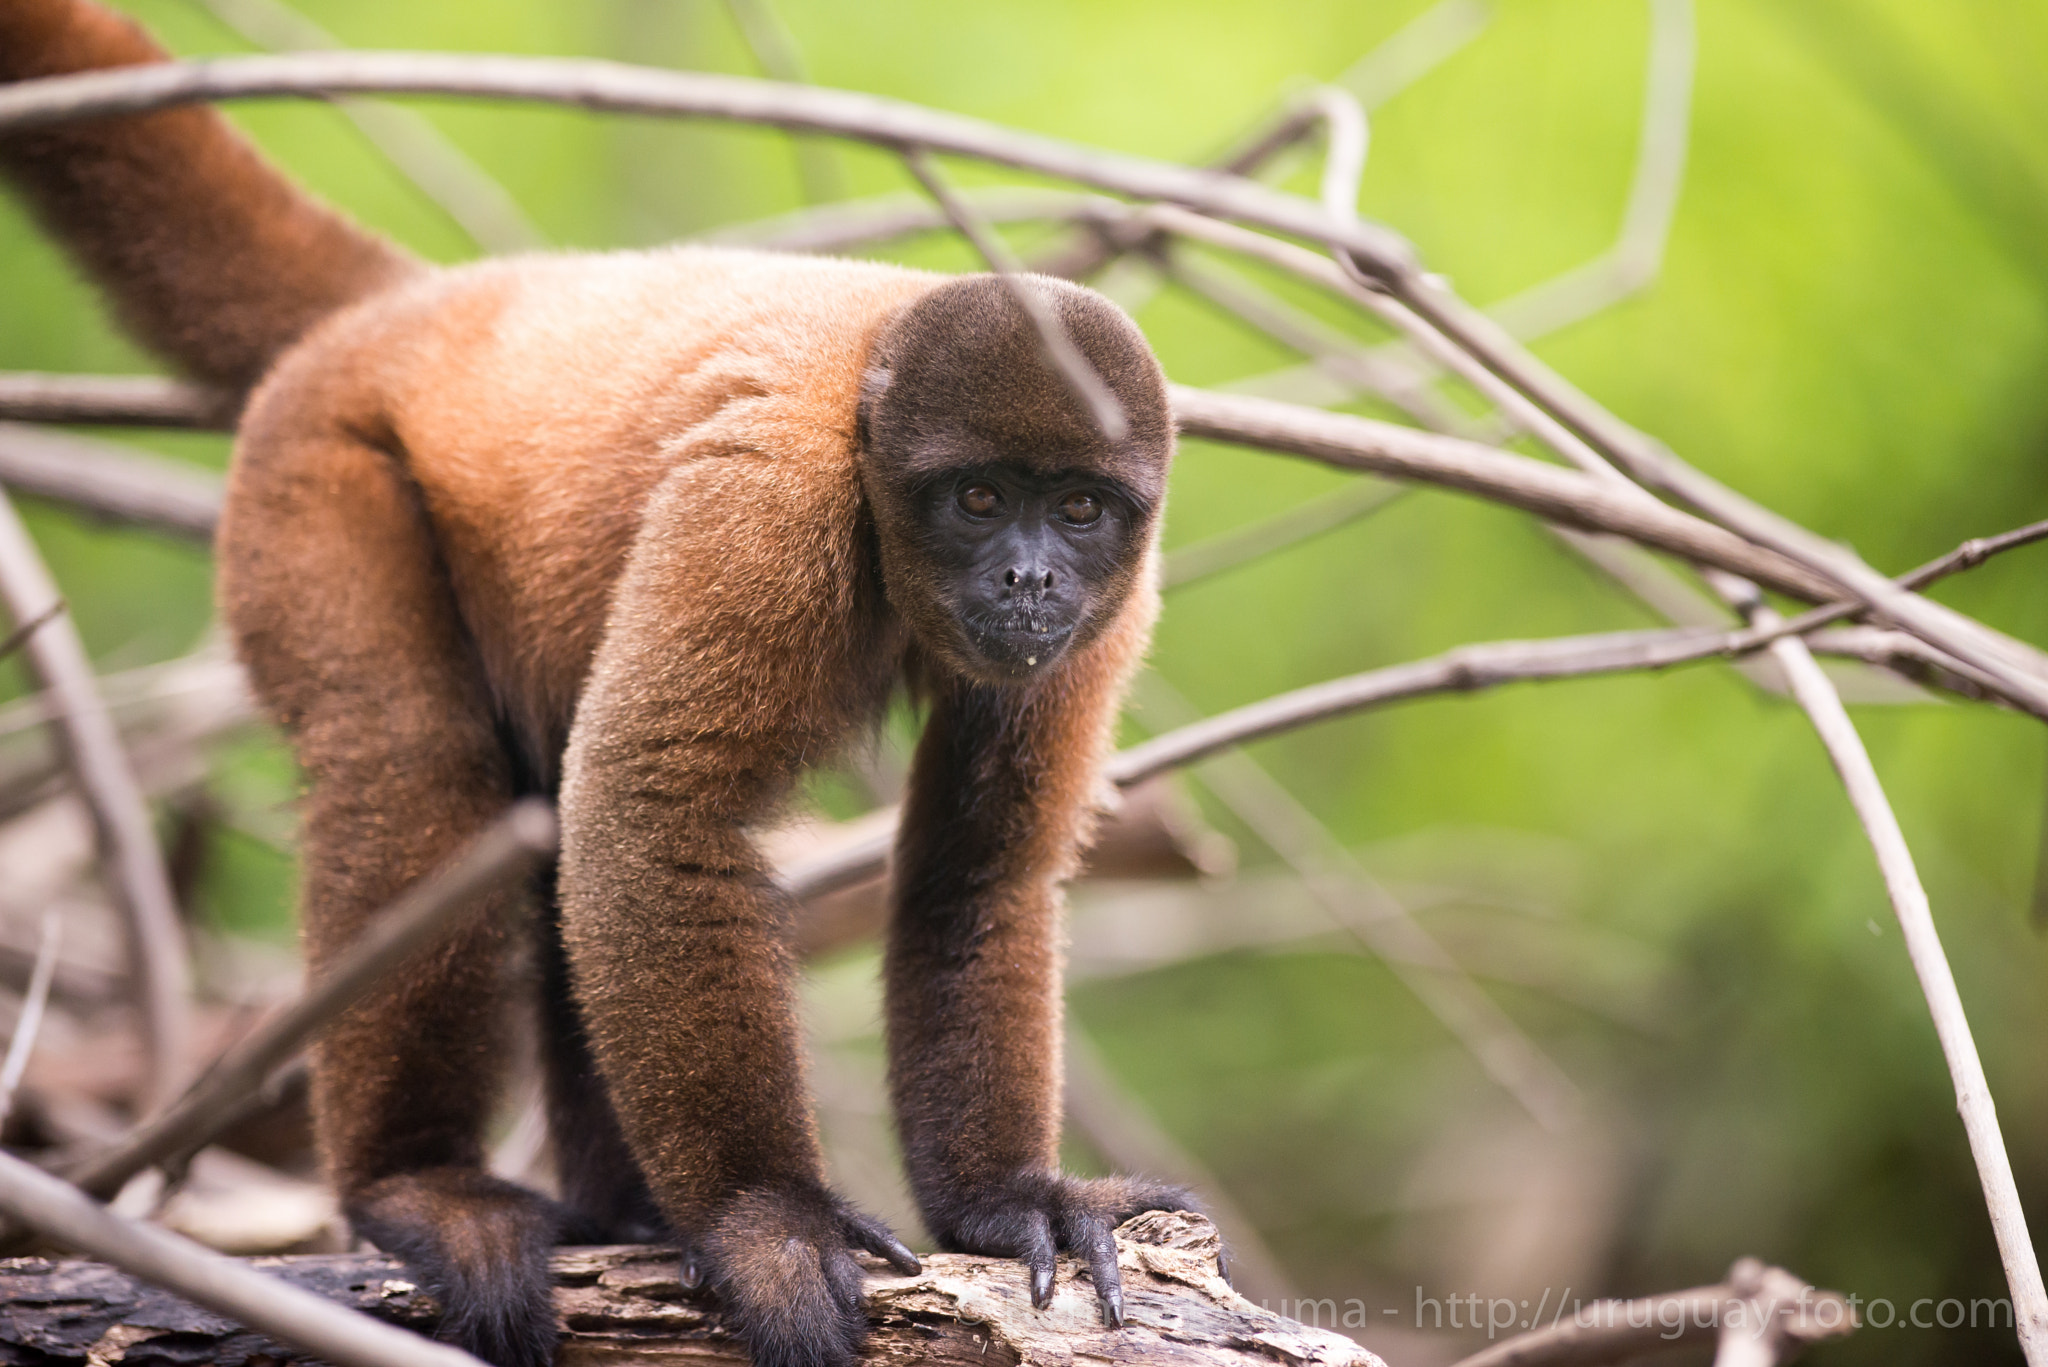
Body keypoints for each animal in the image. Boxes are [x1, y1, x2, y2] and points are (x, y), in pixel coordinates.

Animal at [0, 3, 1199, 1366]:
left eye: (1081, 508)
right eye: (981, 496)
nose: (1030, 578)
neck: (870, 429)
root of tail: (427, 306)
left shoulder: (1120, 601)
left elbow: (980, 861)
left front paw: (1003, 1201)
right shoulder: (767, 497)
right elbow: (651, 802)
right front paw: (765, 1219)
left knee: (544, 834)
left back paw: (619, 1208)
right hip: (315, 464)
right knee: (415, 764)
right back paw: (418, 1185)